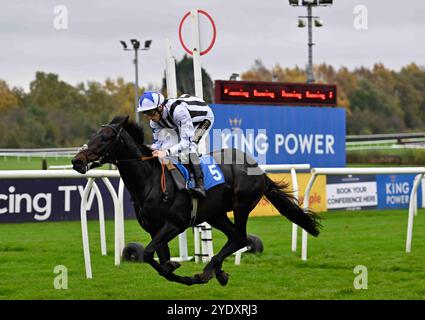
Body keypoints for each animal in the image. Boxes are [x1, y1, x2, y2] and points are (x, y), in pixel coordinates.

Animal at [71, 116, 320, 286]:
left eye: (104, 138)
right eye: (92, 136)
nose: (76, 161)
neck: (150, 181)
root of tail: (259, 169)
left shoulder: (175, 224)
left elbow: (148, 254)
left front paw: (189, 276)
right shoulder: (155, 230)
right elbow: (159, 262)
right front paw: (176, 267)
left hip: (241, 205)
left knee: (240, 237)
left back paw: (209, 270)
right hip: (216, 214)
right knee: (234, 237)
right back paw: (217, 272)